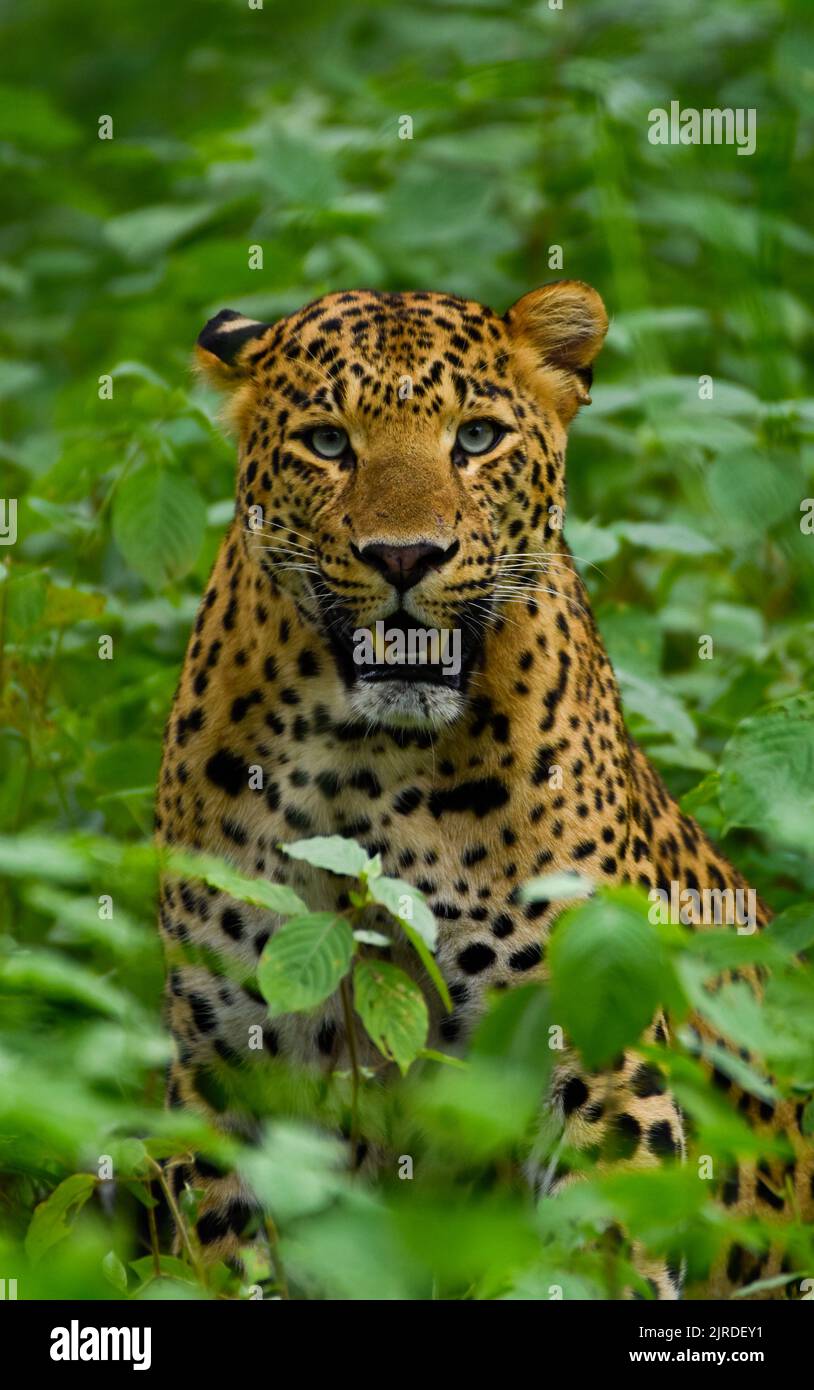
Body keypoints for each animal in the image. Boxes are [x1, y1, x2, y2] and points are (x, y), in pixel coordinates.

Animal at [153, 282, 811, 1301]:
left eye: (475, 437)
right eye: (328, 443)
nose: (404, 557)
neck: (368, 762)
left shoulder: (597, 1052)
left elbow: (598, 1245)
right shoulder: (229, 1067)